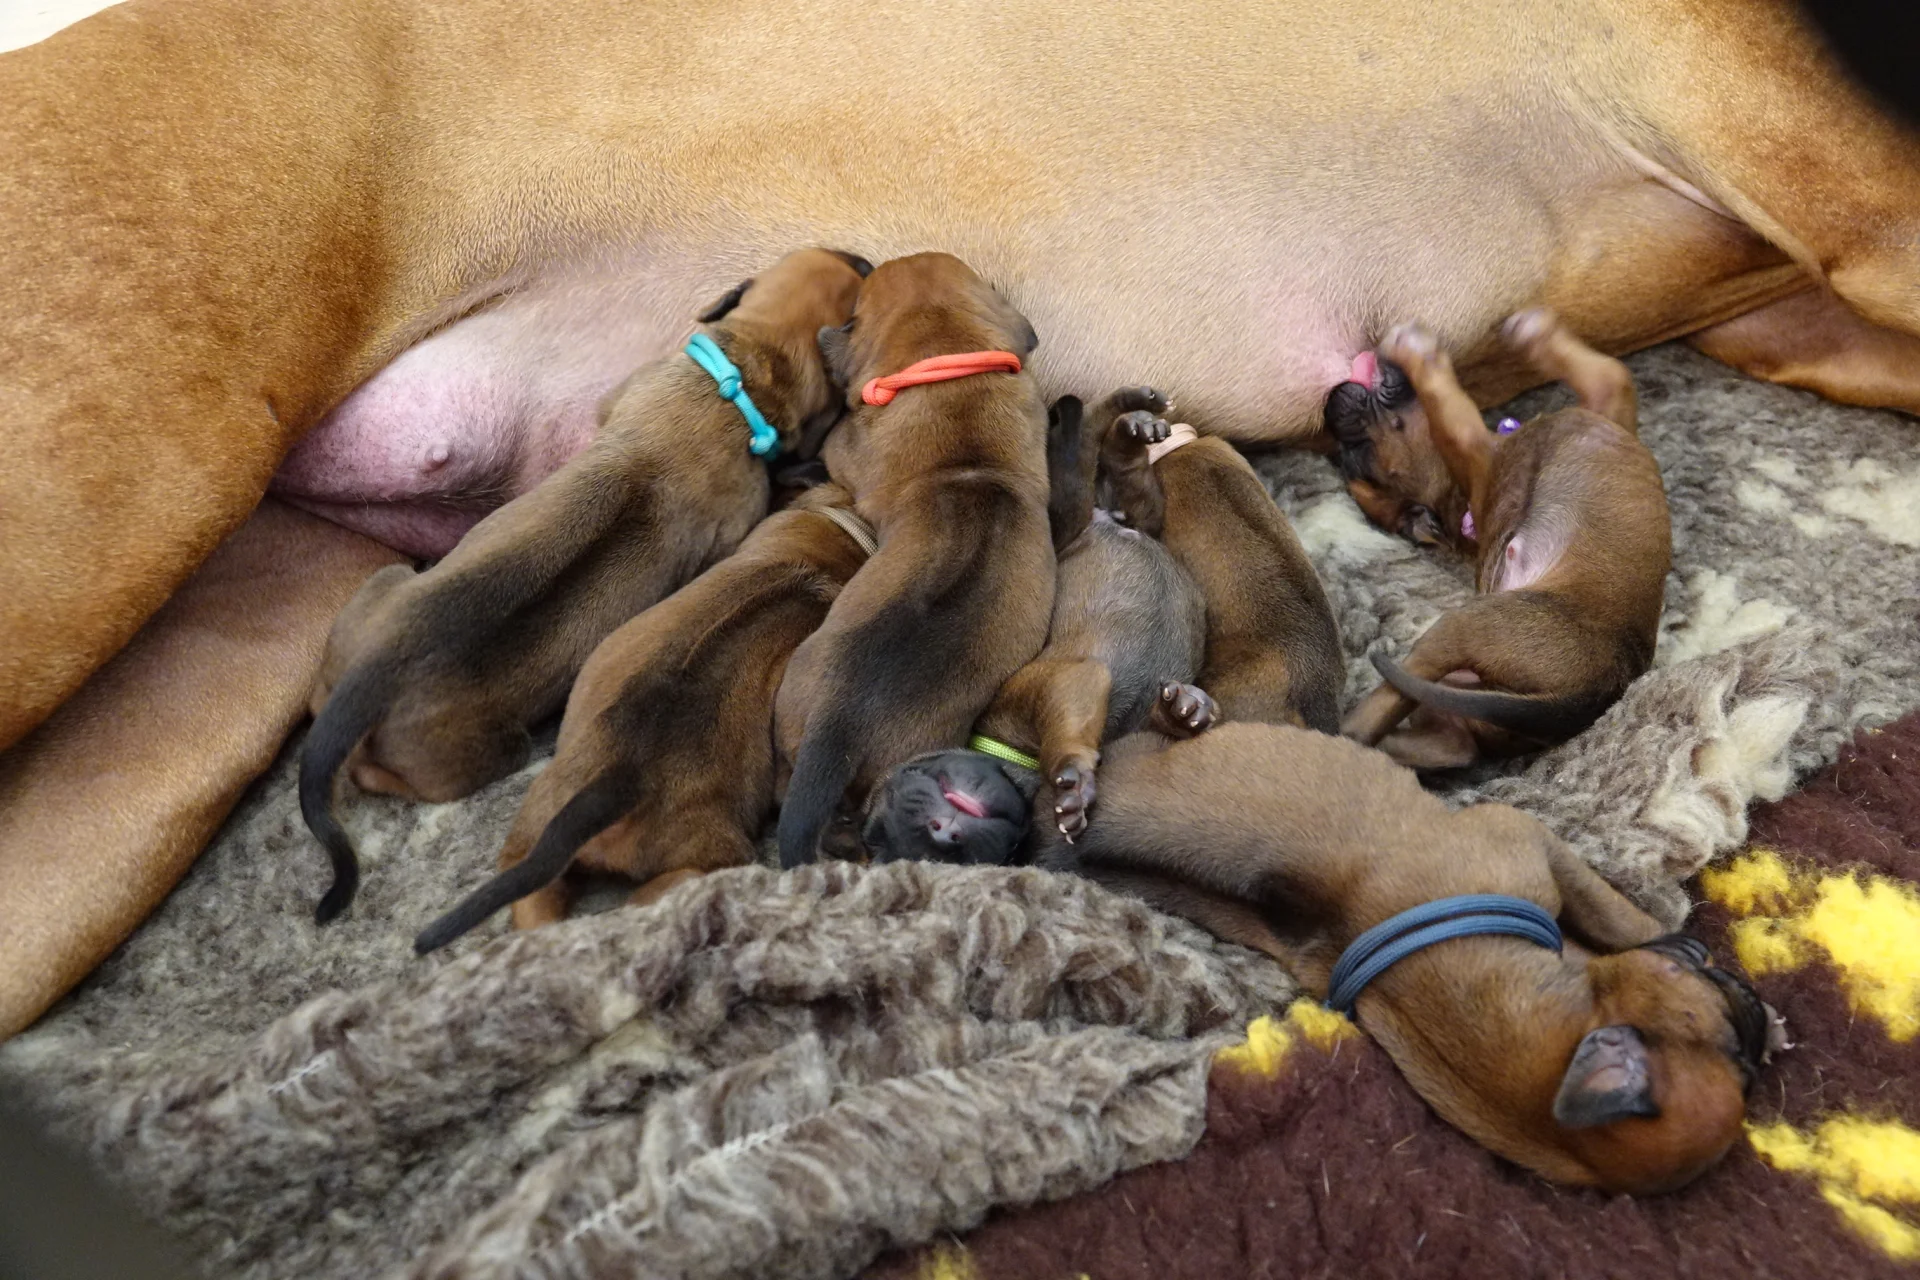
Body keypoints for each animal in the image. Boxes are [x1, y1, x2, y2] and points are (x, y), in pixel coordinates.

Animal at [1338, 309, 1670, 767]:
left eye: (1361, 455)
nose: (1330, 405)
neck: (1457, 504)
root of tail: (1581, 700)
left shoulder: (1606, 411)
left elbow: (1609, 372)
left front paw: (1533, 333)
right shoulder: (1478, 445)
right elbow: (1449, 405)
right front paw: (1421, 353)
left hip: (1461, 685)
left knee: (1441, 740)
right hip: (1466, 633)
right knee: (1376, 720)